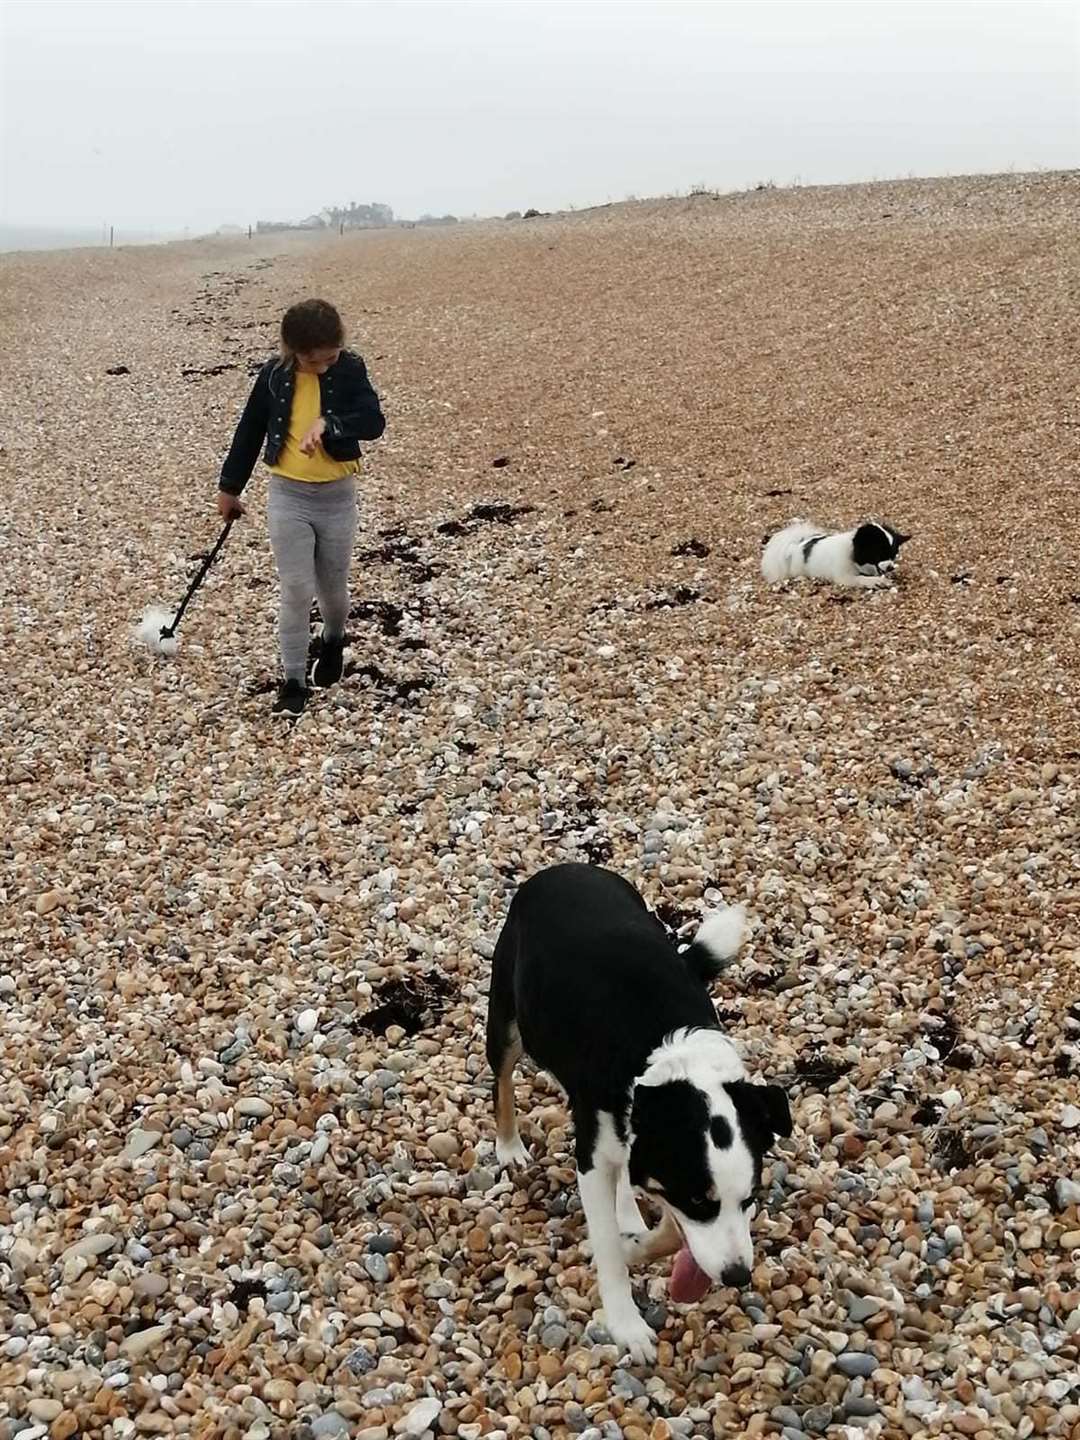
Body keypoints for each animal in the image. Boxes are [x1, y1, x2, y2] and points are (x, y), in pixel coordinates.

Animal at [486, 858, 789, 1365]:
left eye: (750, 1199)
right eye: (701, 1203)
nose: (737, 1277)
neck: (666, 1060)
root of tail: (565, 867)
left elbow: (667, 1230)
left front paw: (636, 1245)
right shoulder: (595, 1158)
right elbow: (609, 1244)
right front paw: (627, 1325)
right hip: (507, 1017)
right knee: (503, 1080)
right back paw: (510, 1146)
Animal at [760, 518, 915, 584]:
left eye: (893, 555)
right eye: (880, 553)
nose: (890, 567)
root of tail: (796, 544)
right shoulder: (844, 577)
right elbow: (860, 578)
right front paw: (876, 581)